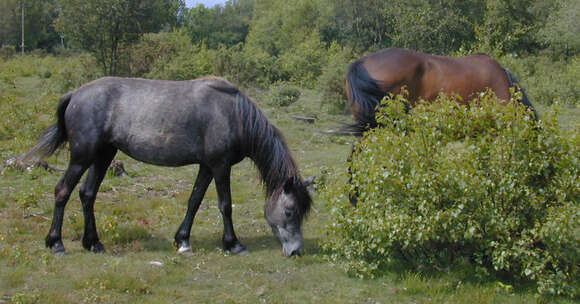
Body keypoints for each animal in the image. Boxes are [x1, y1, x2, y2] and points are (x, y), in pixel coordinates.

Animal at [23, 76, 312, 256]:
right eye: (289, 211)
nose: (296, 251)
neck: (234, 115)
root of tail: (75, 94)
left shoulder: (206, 166)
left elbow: (194, 201)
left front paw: (182, 239)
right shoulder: (220, 166)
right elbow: (225, 205)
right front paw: (233, 244)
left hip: (103, 155)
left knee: (87, 194)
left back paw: (93, 243)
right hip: (82, 157)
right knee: (62, 191)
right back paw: (56, 243)